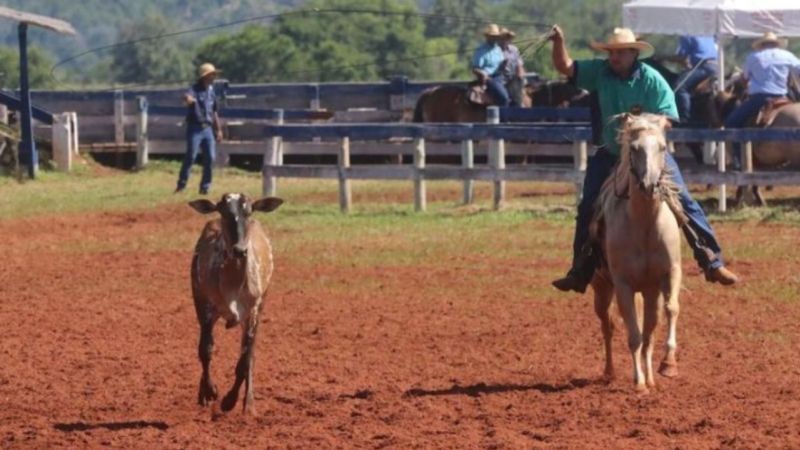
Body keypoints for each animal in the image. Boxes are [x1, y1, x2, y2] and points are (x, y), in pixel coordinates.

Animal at [188, 193, 284, 414]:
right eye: (223, 212)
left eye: (248, 212)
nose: (240, 250)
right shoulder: (205, 308)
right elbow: (205, 350)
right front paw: (209, 391)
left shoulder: (252, 313)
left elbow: (245, 359)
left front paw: (230, 401)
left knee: (250, 355)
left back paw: (248, 403)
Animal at [592, 114, 680, 392]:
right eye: (633, 148)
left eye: (662, 147)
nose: (650, 185)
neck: (644, 225)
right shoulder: (623, 285)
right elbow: (633, 336)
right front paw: (639, 382)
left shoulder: (670, 274)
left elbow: (670, 311)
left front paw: (667, 364)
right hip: (601, 287)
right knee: (608, 325)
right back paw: (609, 372)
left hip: (649, 292)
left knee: (648, 331)